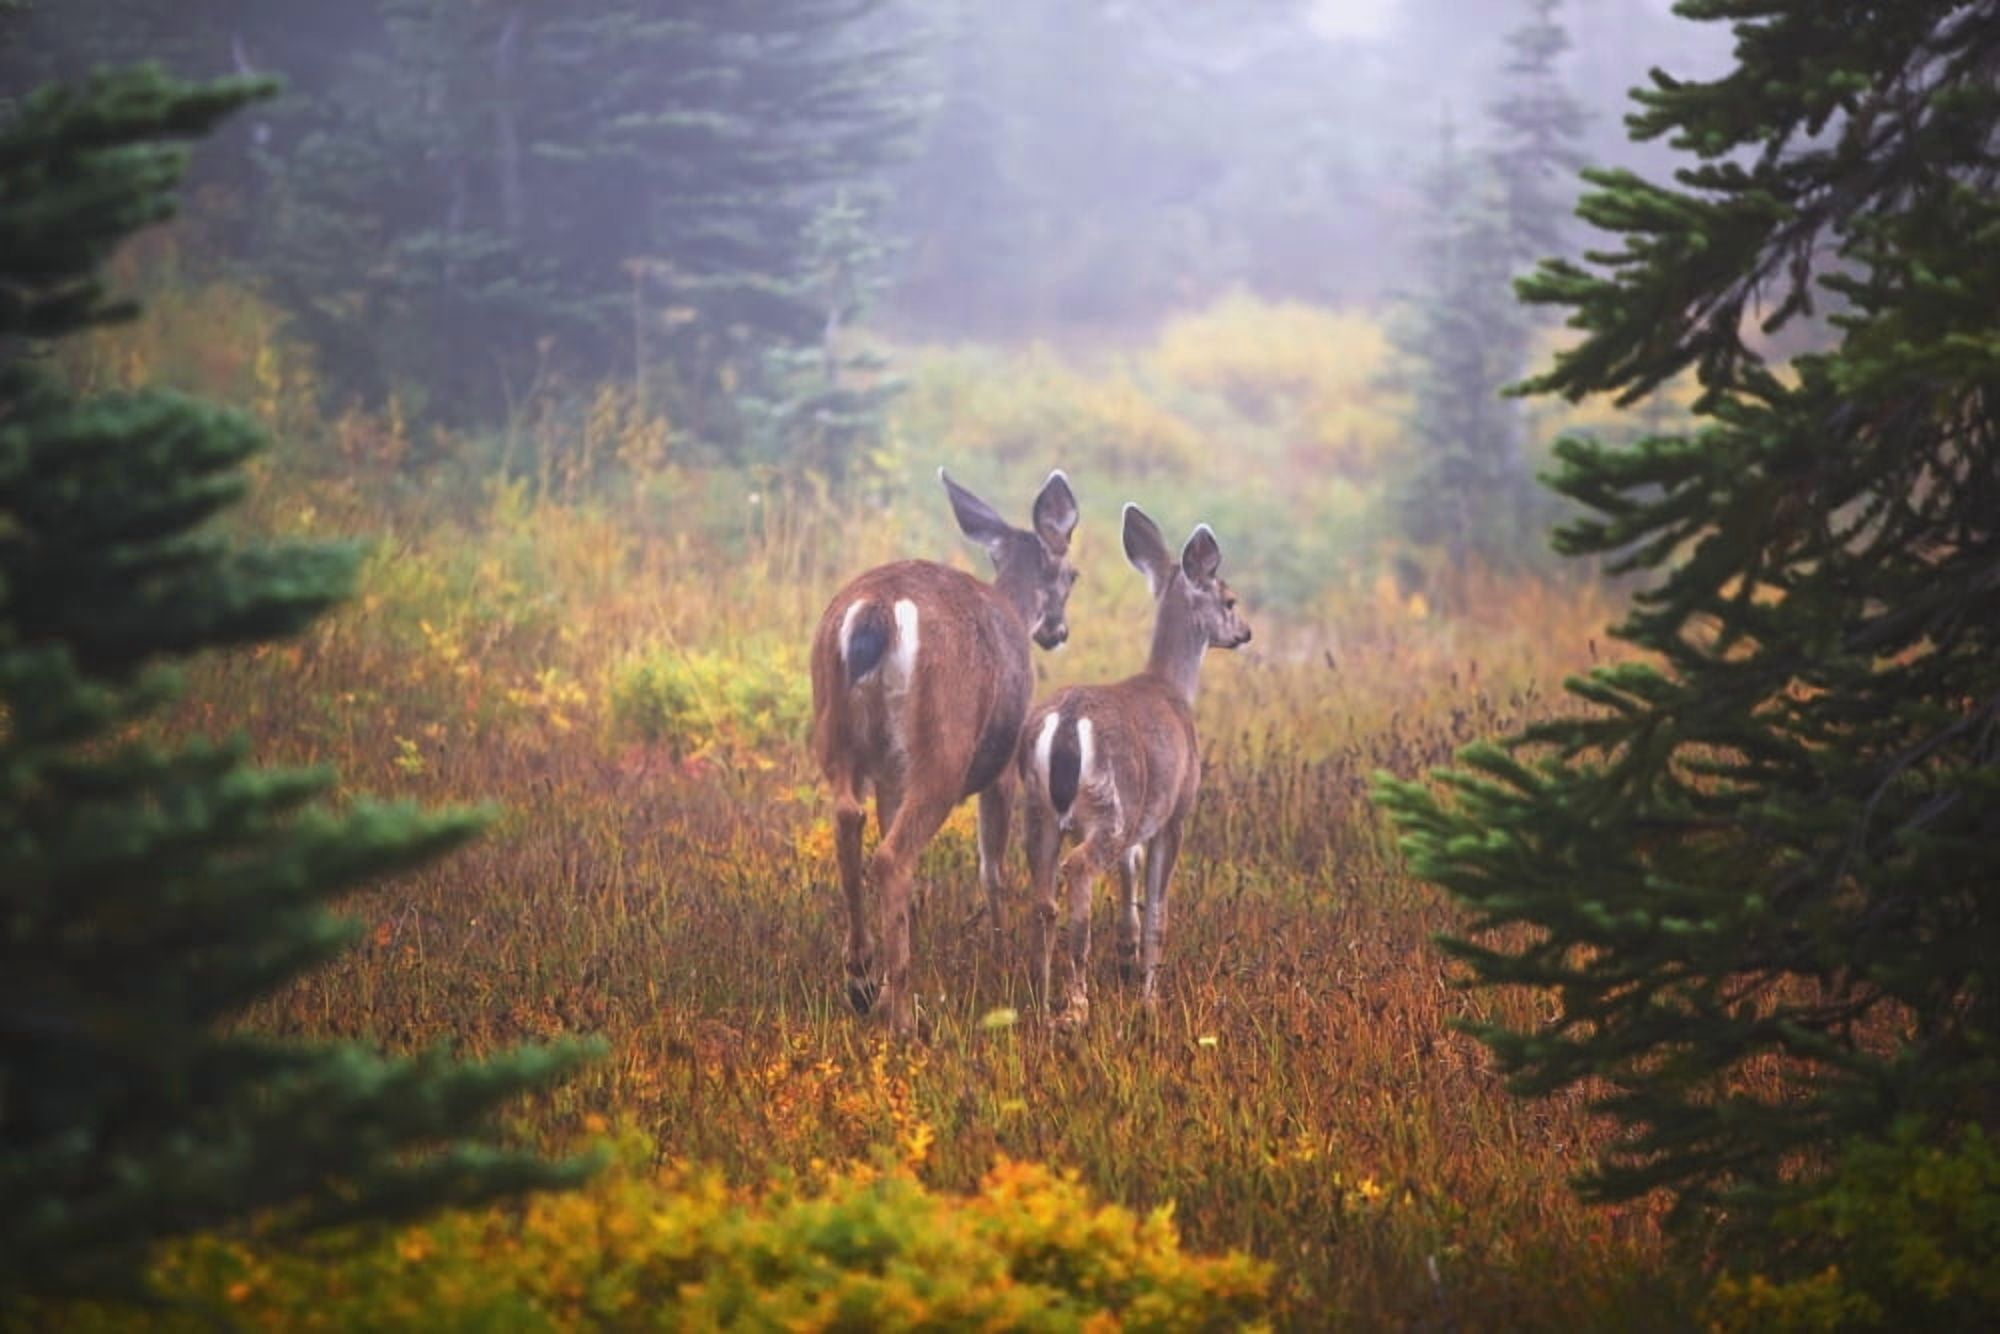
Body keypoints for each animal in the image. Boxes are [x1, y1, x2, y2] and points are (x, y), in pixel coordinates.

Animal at [809, 468, 1080, 1035]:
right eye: (1072, 573)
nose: (1057, 631)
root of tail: (878, 610)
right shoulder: (1006, 766)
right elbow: (992, 868)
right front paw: (1000, 954)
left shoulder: (891, 772)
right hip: (944, 744)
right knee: (893, 857)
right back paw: (901, 1016)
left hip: (836, 729)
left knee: (849, 817)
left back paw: (863, 979)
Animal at [1019, 503, 1251, 1029]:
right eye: (1229, 599)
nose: (1245, 633)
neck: (1173, 689)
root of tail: (1067, 722)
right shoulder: (1175, 811)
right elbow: (1158, 908)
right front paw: (1149, 993)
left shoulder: (1140, 820)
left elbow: (1131, 879)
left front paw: (1126, 961)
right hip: (1108, 808)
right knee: (1079, 869)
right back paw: (1075, 1006)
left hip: (1040, 810)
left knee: (1042, 898)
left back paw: (1040, 997)